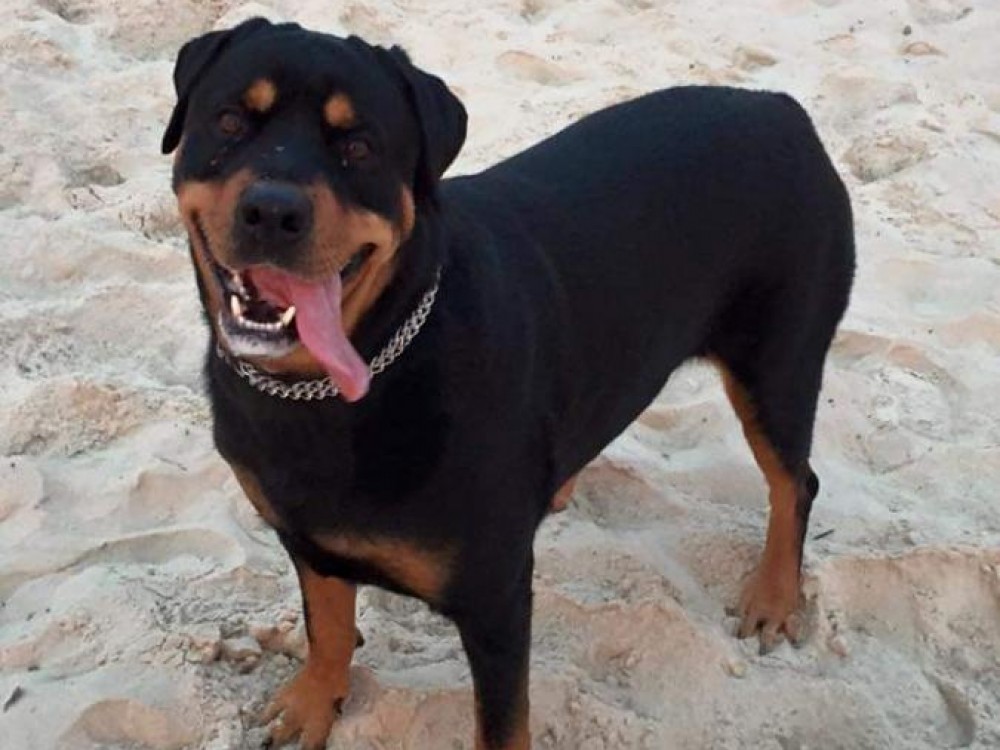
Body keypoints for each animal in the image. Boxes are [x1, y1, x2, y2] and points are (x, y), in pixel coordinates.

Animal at [163, 17, 854, 750]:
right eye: (229, 120)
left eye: (358, 146)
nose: (272, 211)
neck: (343, 384)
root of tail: (781, 109)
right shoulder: (309, 544)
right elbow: (327, 629)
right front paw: (313, 703)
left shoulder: (494, 597)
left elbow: (501, 724)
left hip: (778, 361)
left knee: (794, 482)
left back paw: (774, 597)